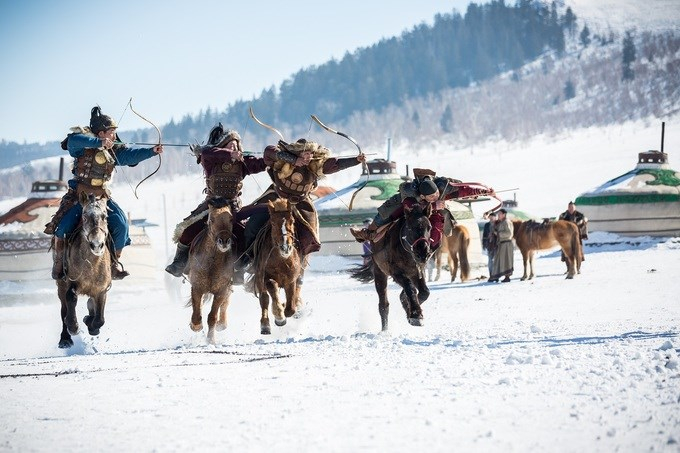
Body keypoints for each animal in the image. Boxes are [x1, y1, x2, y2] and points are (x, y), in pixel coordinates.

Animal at [56, 192, 112, 348]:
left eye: (105, 216)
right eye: (85, 216)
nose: (97, 245)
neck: (91, 266)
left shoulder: (102, 290)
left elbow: (100, 319)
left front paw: (90, 323)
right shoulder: (70, 283)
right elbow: (71, 297)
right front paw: (73, 326)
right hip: (60, 286)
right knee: (63, 309)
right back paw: (65, 339)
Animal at [187, 197, 235, 342]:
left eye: (231, 219)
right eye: (212, 219)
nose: (224, 241)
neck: (212, 265)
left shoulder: (221, 290)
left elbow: (212, 316)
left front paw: (211, 340)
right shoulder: (197, 287)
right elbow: (197, 312)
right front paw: (196, 326)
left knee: (225, 304)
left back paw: (222, 324)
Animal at [248, 197, 302, 332]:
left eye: (292, 221)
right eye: (272, 223)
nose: (285, 247)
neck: (282, 261)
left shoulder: (291, 280)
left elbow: (290, 308)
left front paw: (284, 308)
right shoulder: (265, 278)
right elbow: (271, 287)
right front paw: (279, 316)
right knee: (264, 299)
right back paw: (265, 325)